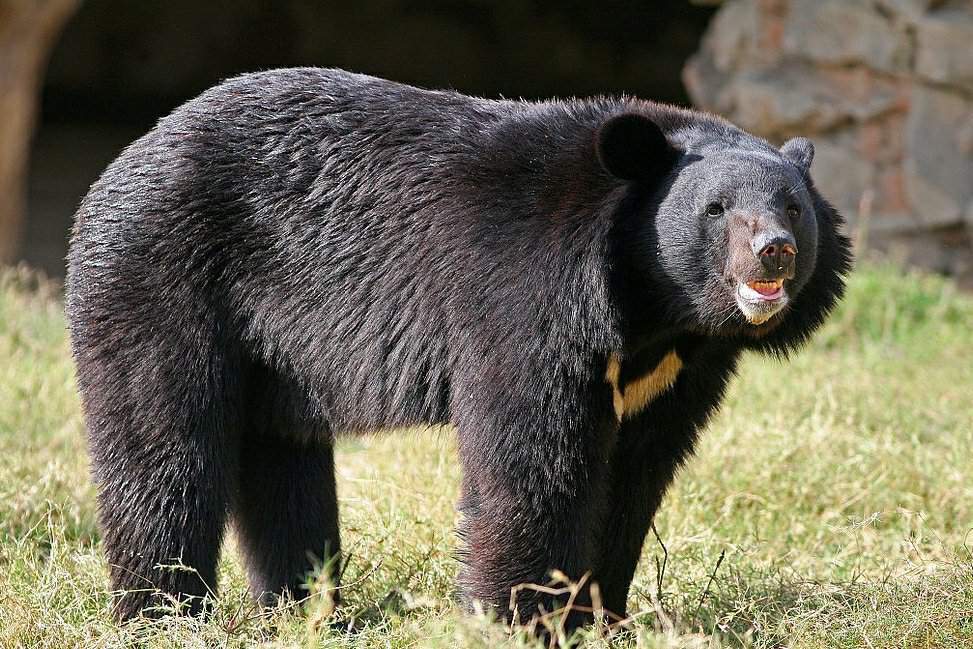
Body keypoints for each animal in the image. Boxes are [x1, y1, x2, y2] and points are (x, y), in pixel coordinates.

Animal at [64, 69, 852, 628]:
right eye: (716, 210)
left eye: (791, 207)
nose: (774, 252)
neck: (652, 310)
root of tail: (120, 163)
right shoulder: (525, 294)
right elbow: (530, 458)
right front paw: (520, 616)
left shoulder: (678, 369)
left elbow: (635, 471)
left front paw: (602, 615)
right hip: (159, 276)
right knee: (163, 444)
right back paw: (162, 611)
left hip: (269, 349)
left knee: (282, 462)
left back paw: (307, 608)